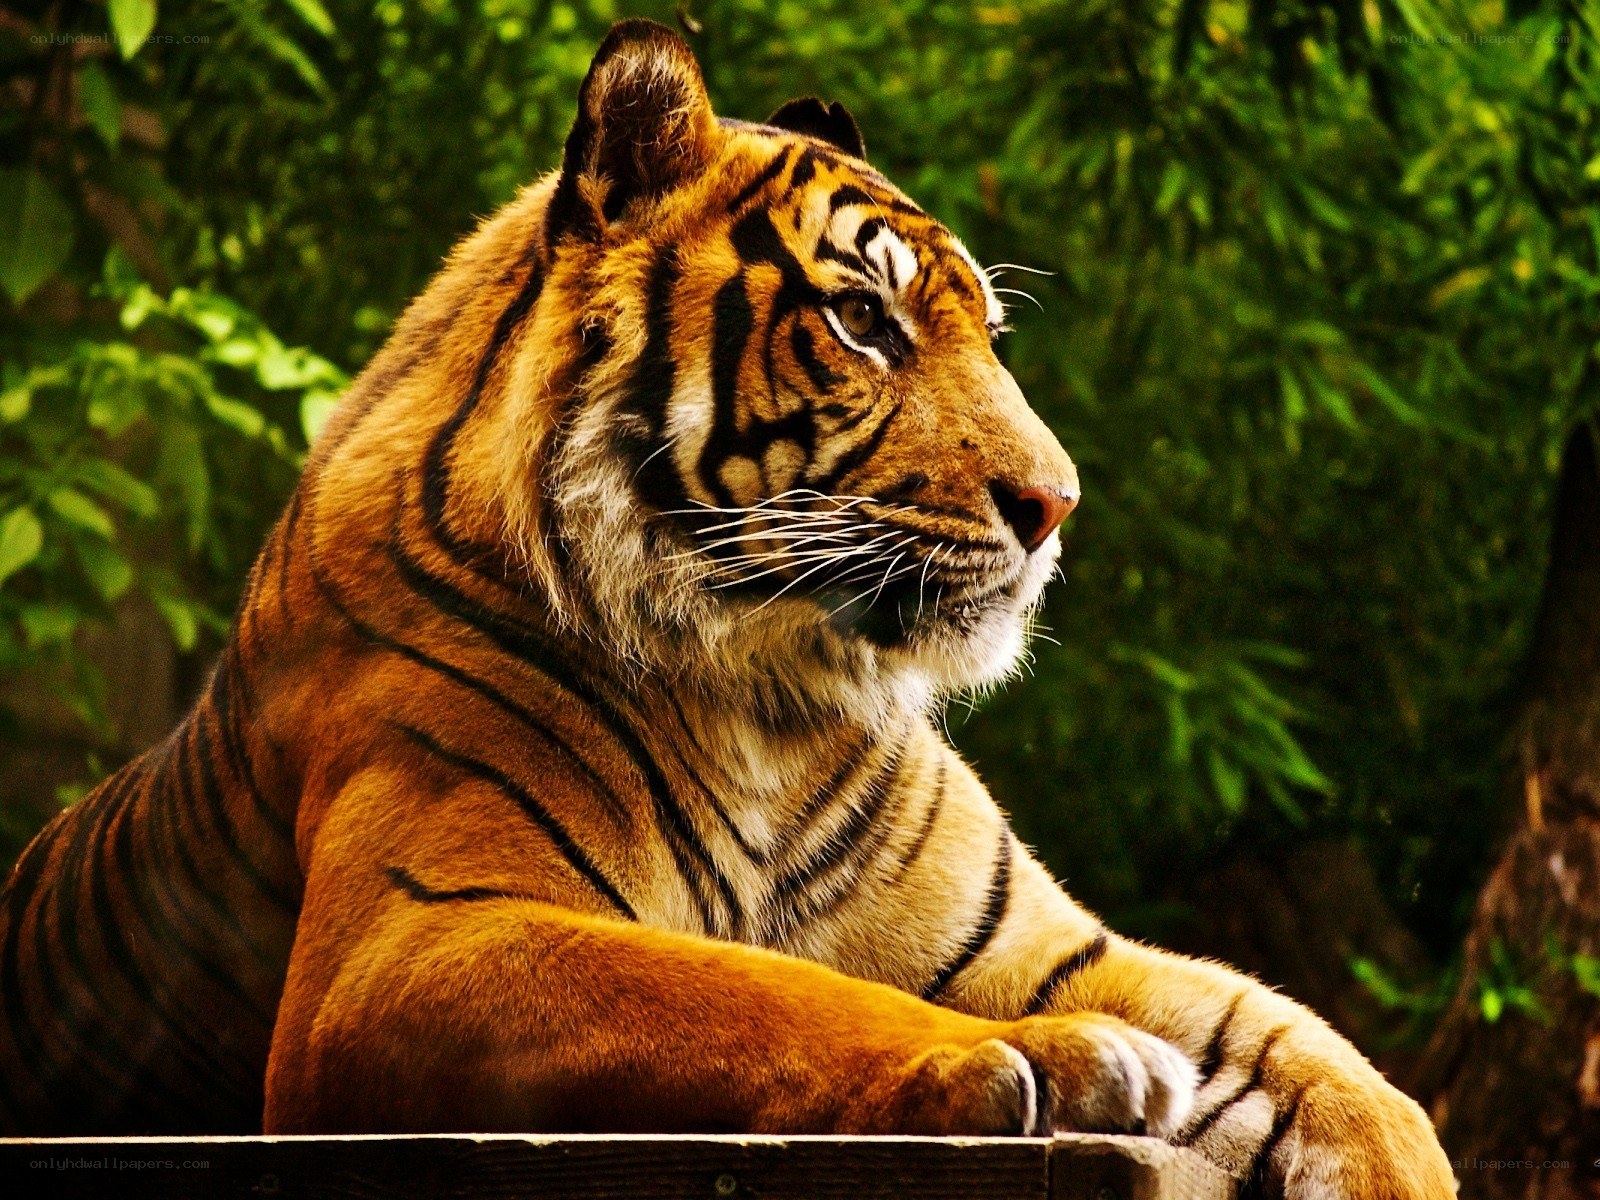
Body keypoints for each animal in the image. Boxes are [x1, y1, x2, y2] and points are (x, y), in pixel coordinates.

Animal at [0, 19, 1451, 1197]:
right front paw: (1041, 1061)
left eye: (987, 335)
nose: (1057, 505)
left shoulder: (1044, 939)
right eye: (864, 322)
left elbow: (1317, 1052)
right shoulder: (408, 941)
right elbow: (758, 988)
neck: (770, 695)